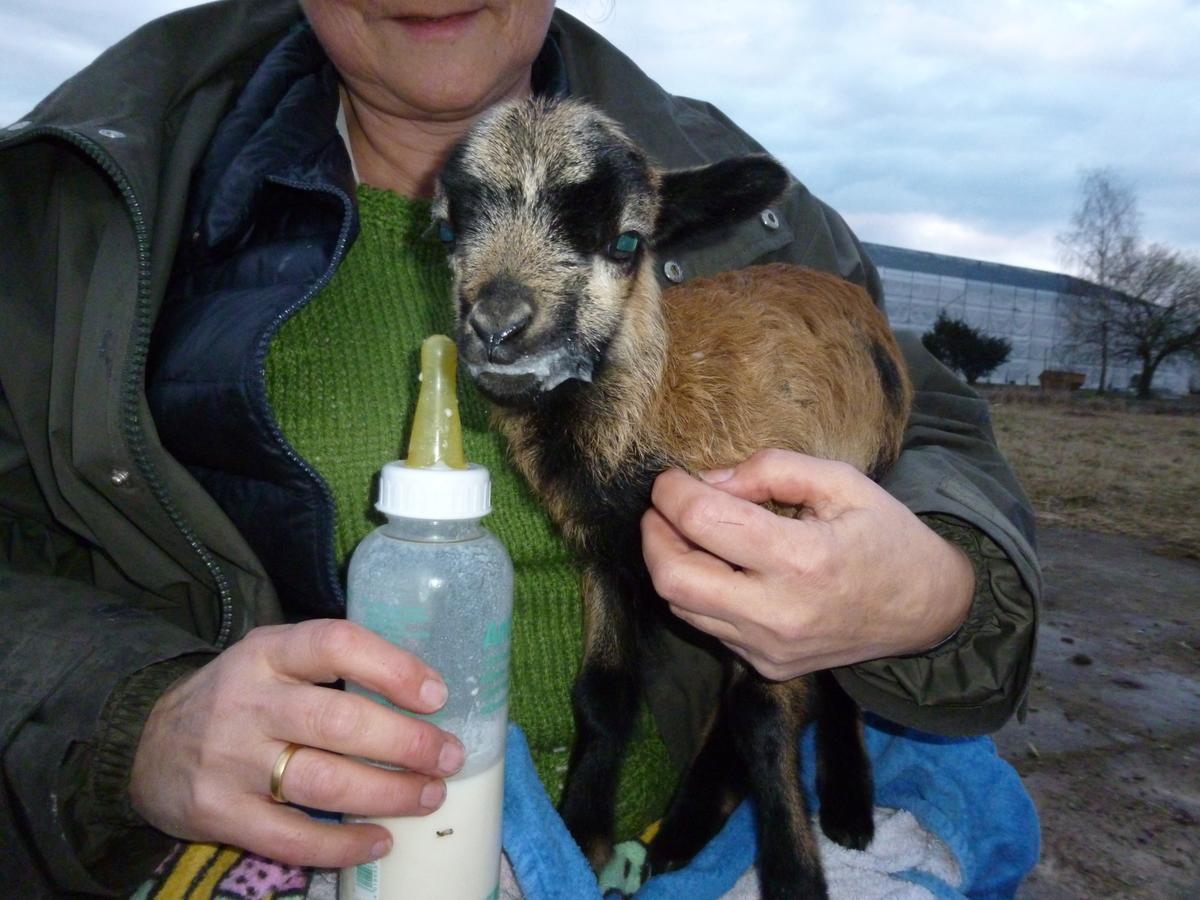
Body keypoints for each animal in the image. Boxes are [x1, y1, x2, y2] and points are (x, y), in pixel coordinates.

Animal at [436, 98, 912, 900]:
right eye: (445, 229)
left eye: (628, 241)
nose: (498, 328)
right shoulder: (605, 560)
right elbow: (602, 694)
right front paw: (582, 836)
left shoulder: (780, 560)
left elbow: (765, 718)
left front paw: (793, 873)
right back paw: (683, 834)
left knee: (839, 668)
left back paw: (842, 801)